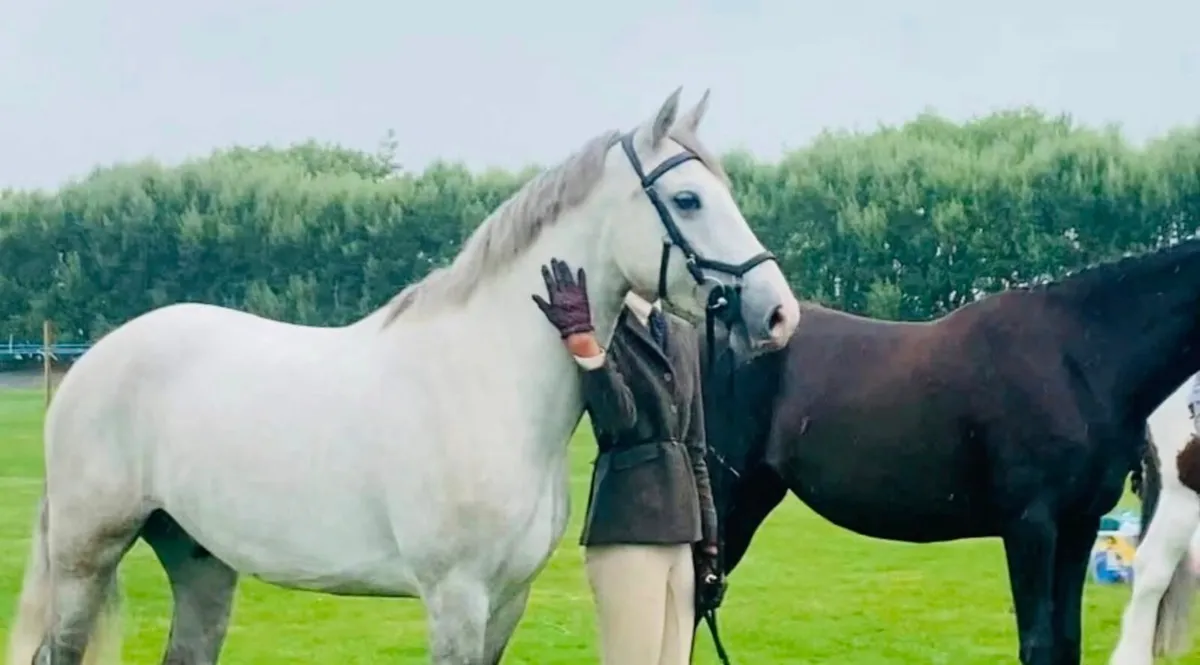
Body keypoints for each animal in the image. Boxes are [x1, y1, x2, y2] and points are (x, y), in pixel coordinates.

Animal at [5, 88, 801, 665]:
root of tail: (95, 361)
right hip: (86, 557)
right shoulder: (456, 596)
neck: (491, 379)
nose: (778, 313)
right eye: (690, 199)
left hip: (199, 558)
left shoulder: (506, 598)